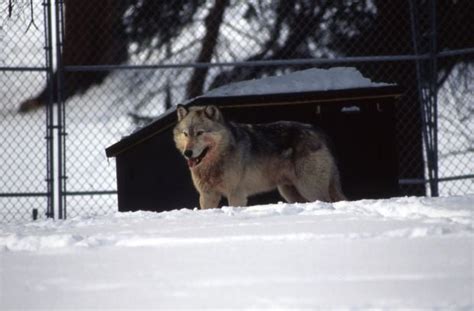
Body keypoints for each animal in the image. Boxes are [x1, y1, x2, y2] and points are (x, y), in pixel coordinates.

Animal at [172, 105, 346, 210]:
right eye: (185, 134)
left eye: (200, 133)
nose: (187, 152)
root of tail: (319, 132)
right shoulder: (207, 196)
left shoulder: (236, 194)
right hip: (290, 192)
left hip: (309, 190)